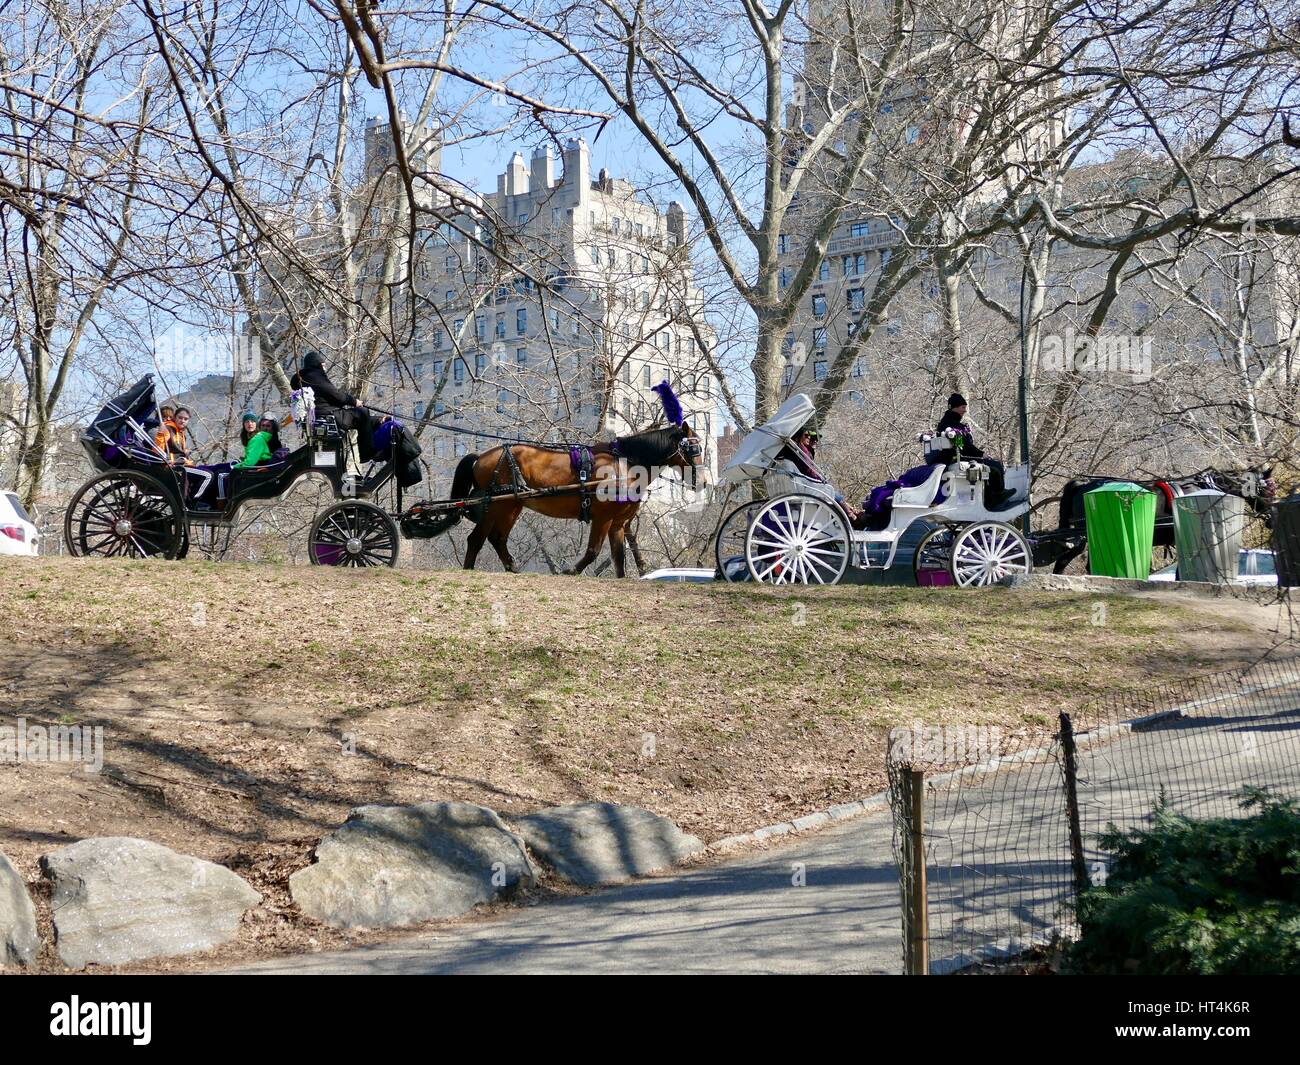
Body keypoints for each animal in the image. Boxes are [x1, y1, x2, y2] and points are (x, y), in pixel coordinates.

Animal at [433, 422, 703, 576]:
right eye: (693, 448)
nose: (700, 480)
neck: (625, 464)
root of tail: (481, 457)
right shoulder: (603, 518)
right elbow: (593, 551)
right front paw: (571, 570)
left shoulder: (617, 523)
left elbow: (618, 558)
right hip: (497, 506)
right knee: (477, 539)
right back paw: (470, 571)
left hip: (510, 507)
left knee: (496, 539)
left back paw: (511, 568)